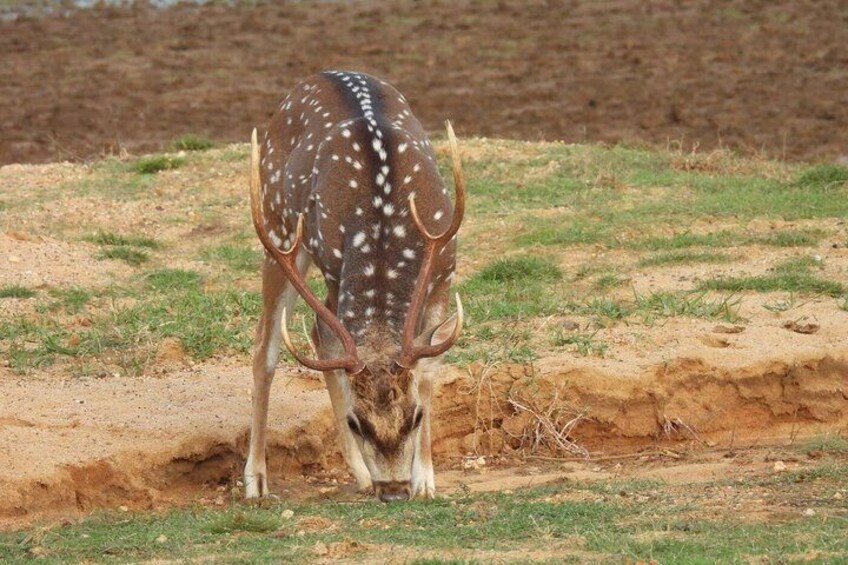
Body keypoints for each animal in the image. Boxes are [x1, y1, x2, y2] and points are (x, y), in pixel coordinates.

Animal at [244, 71, 465, 502]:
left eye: (415, 416)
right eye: (356, 422)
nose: (393, 490)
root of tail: (321, 75)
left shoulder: (444, 268)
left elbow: (428, 369)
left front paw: (426, 480)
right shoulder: (335, 268)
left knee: (315, 335)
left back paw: (359, 474)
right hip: (279, 232)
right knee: (268, 346)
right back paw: (256, 480)